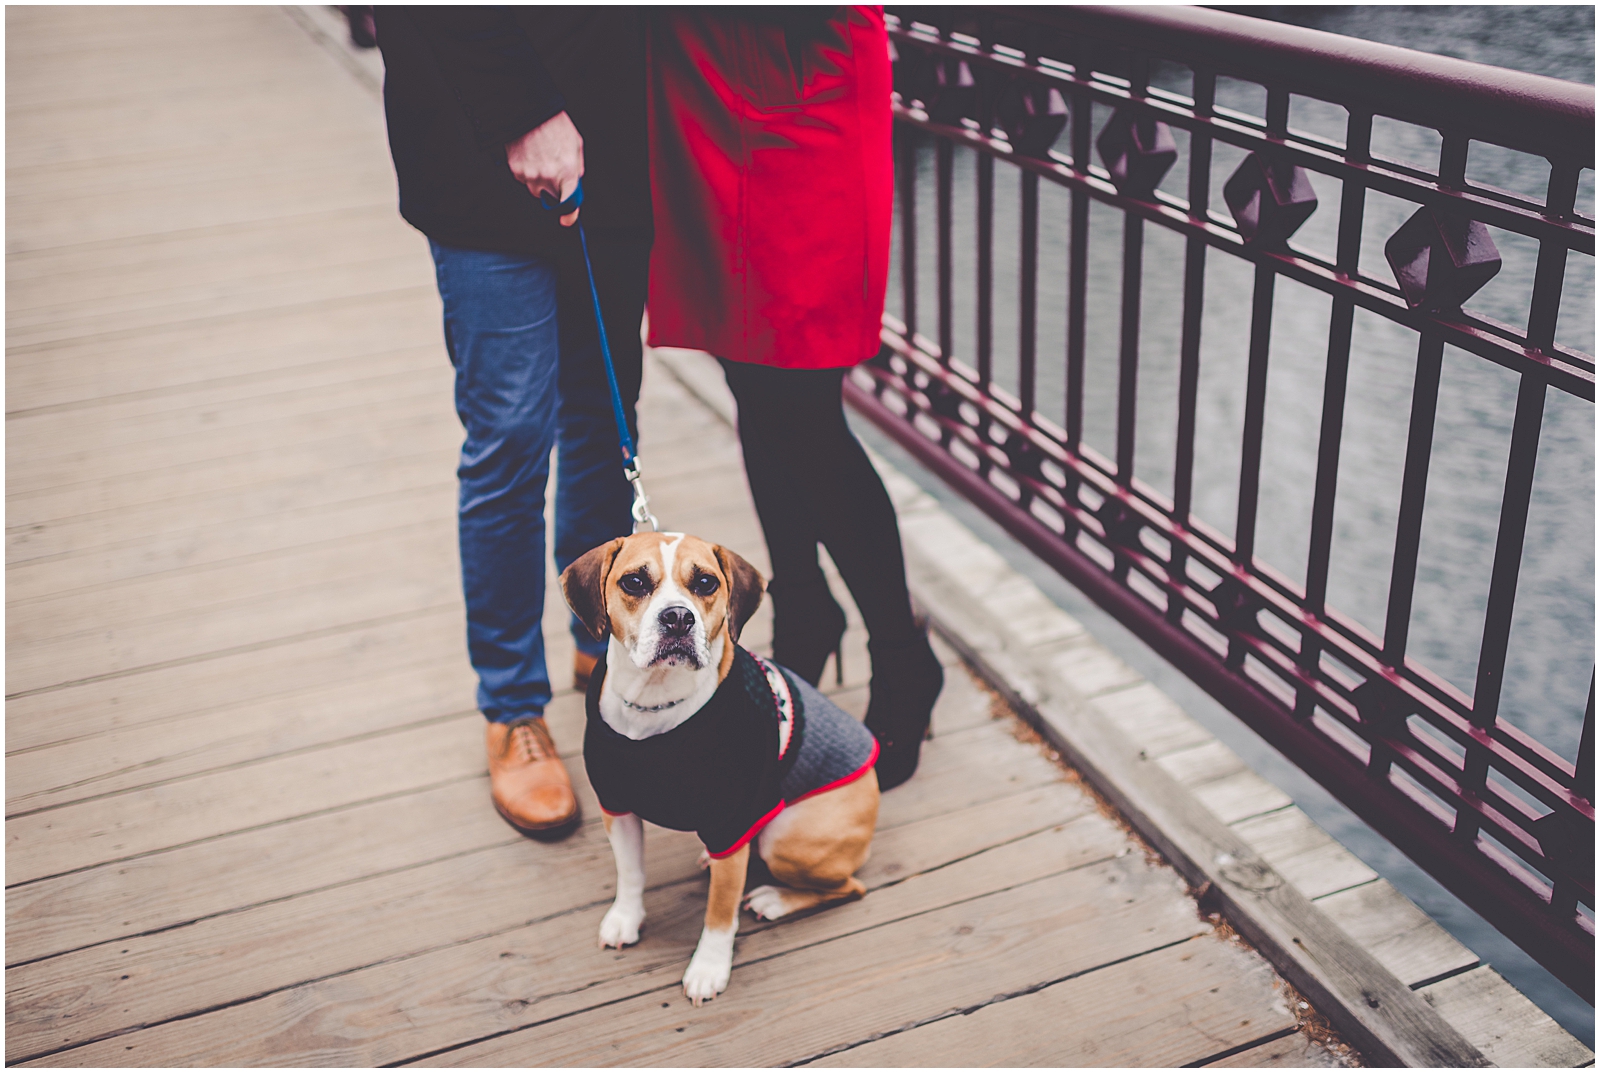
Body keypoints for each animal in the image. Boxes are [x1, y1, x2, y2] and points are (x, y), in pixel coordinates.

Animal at [563, 534, 883, 1010]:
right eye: (634, 582)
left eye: (706, 583)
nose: (678, 617)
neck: (654, 700)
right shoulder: (617, 808)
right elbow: (631, 872)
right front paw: (626, 917)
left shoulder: (732, 827)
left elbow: (719, 912)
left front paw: (708, 969)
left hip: (784, 839)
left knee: (850, 887)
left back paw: (775, 900)